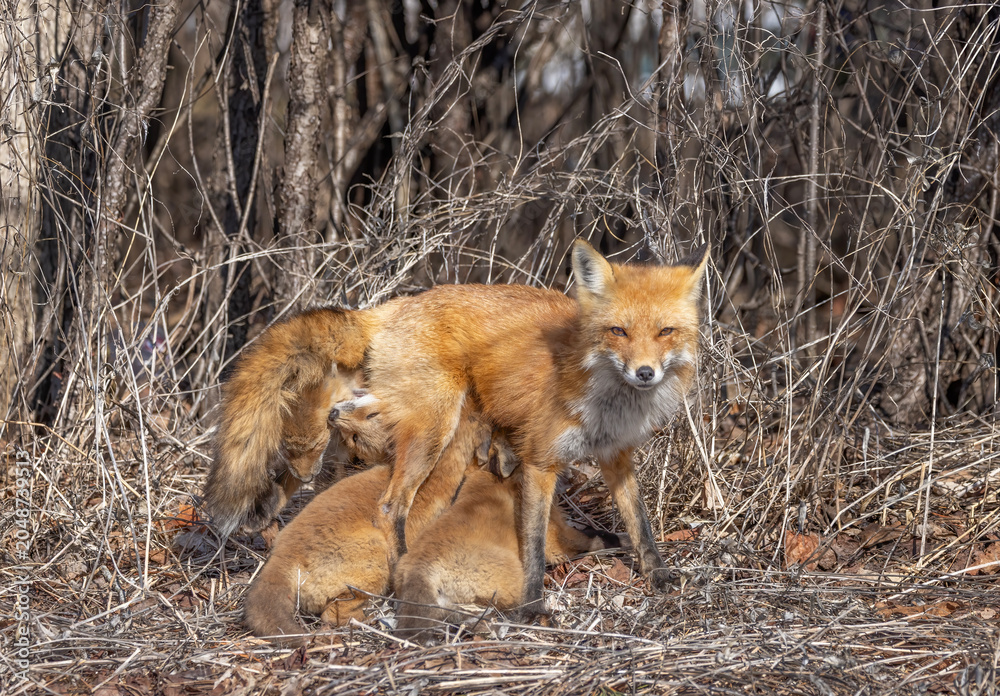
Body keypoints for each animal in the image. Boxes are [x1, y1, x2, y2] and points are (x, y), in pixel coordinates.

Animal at [208, 239, 708, 618]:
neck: (604, 397)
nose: (645, 373)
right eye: (618, 331)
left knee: (303, 472)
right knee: (390, 505)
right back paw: (398, 569)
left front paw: (658, 574)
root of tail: (390, 308)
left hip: (338, 429)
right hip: (433, 427)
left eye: (665, 331)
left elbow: (639, 522)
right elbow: (533, 545)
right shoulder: (540, 462)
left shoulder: (616, 455)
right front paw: (533, 604)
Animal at [394, 440, 619, 643]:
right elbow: (592, 539)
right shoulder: (555, 539)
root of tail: (420, 568)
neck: (489, 479)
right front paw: (617, 540)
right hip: (514, 575)